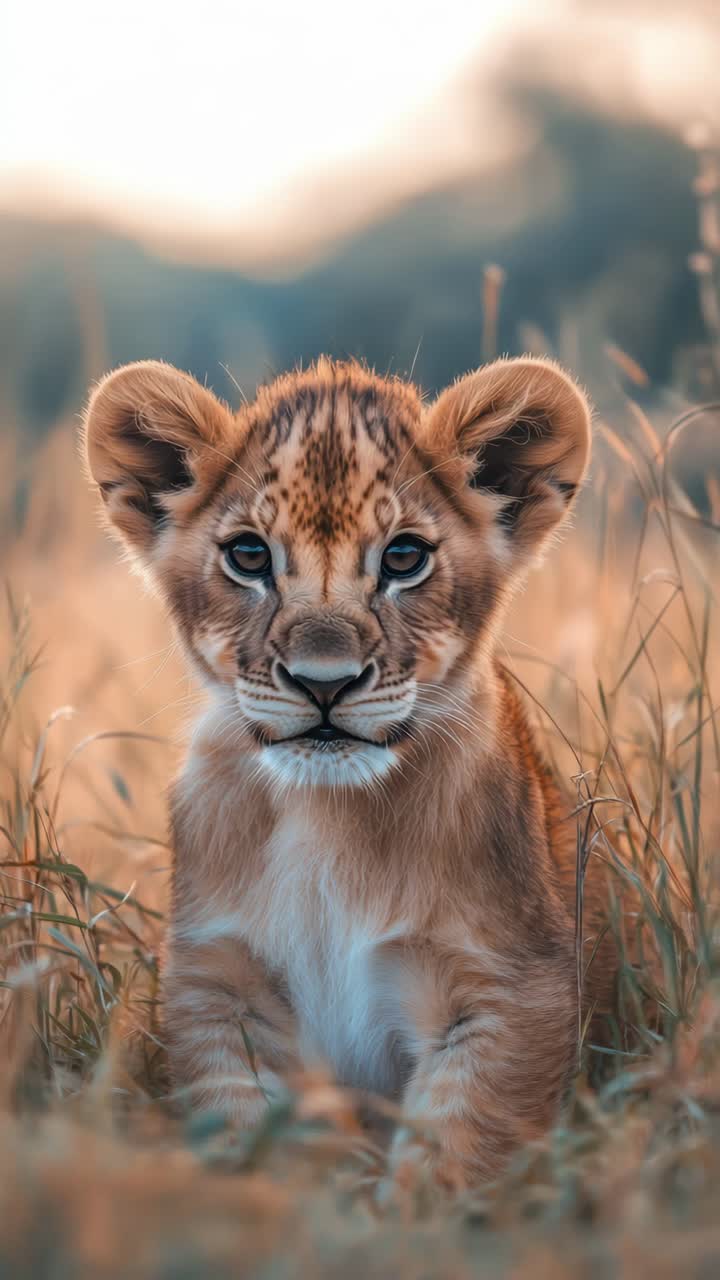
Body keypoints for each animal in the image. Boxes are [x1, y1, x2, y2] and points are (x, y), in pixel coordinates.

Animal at [83, 354, 617, 1189]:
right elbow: (256, 1136)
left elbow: (455, 1151)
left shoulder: (514, 986)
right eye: (248, 556)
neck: (327, 816)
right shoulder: (219, 985)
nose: (323, 683)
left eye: (404, 557)